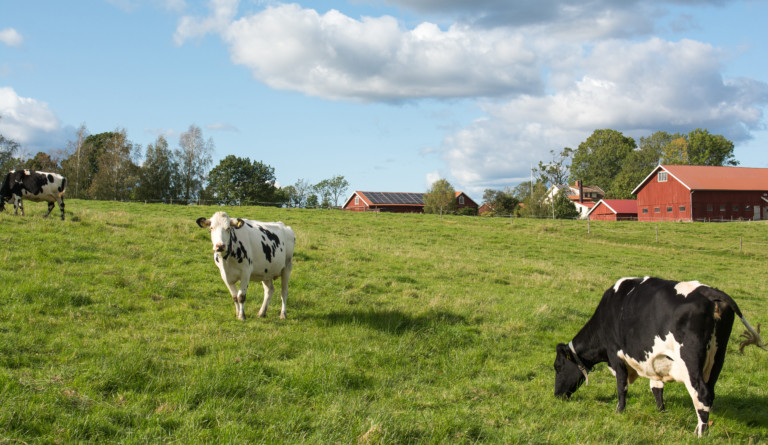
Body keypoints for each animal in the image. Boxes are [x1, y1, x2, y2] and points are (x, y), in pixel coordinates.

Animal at [556, 276, 764, 436]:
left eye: (558, 367)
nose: (557, 395)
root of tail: (708, 291)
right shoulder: (653, 360)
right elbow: (656, 388)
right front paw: (660, 411)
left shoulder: (616, 355)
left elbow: (621, 386)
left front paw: (619, 411)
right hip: (717, 358)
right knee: (710, 392)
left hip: (690, 360)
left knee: (702, 394)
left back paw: (700, 433)